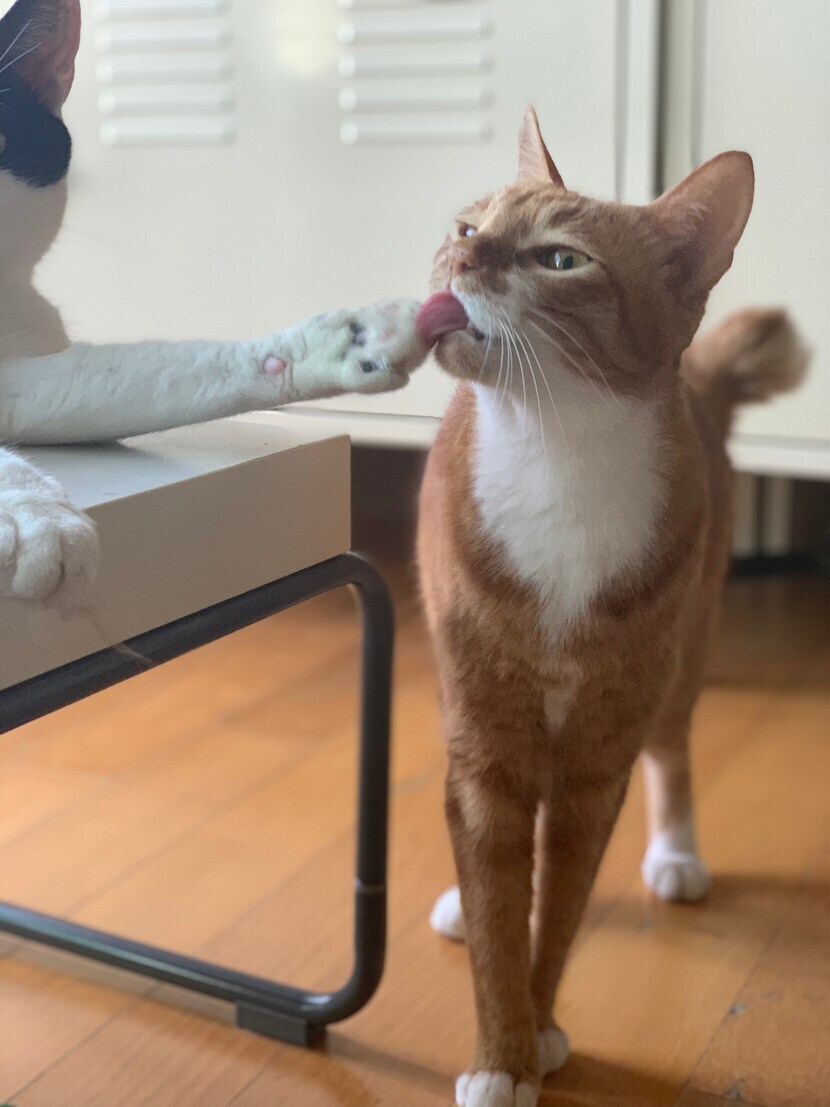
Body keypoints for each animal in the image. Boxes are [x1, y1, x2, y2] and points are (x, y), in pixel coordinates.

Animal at [416, 108, 806, 1107]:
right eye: (468, 224)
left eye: (561, 260)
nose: (460, 256)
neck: (554, 456)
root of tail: (702, 376)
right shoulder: (483, 742)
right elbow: (498, 903)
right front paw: (502, 1046)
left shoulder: (597, 758)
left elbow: (558, 908)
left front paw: (536, 1033)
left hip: (681, 654)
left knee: (673, 749)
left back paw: (676, 854)